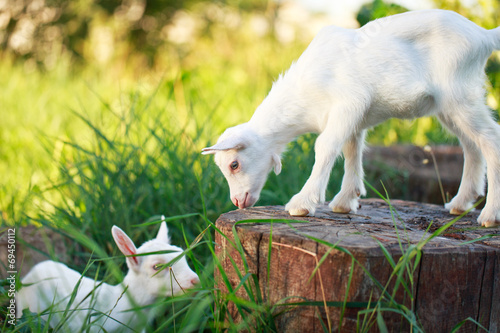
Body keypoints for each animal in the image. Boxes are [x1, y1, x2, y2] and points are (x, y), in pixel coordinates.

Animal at [202, 8, 500, 226]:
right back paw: (460, 203)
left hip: (459, 94)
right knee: (472, 145)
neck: (303, 94)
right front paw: (346, 201)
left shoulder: (348, 104)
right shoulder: (352, 117)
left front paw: (302, 203)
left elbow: (324, 146)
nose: (237, 202)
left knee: (490, 139)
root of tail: (483, 35)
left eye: (234, 165)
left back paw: (489, 215)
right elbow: (351, 150)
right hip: (448, 107)